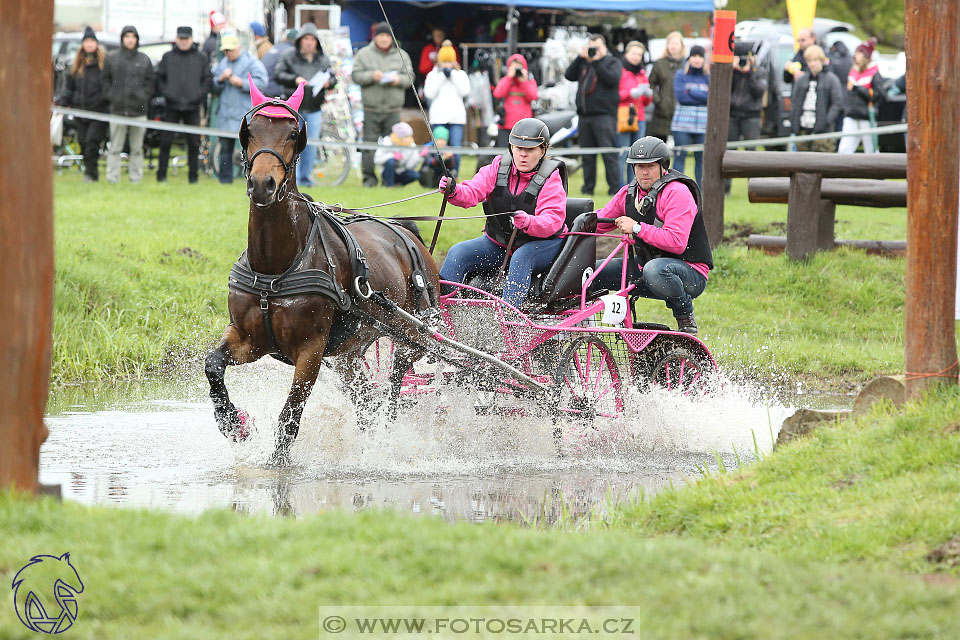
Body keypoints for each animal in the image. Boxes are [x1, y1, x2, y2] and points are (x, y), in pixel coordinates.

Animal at [206, 81, 442, 464]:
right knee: (365, 401)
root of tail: (406, 233)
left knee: (393, 388)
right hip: (349, 355)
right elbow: (213, 365)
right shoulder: (248, 338)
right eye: (250, 130)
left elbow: (290, 416)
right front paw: (233, 423)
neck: (276, 267)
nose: (262, 184)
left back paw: (386, 439)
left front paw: (277, 464)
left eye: (292, 133)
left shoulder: (311, 351)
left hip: (412, 336)